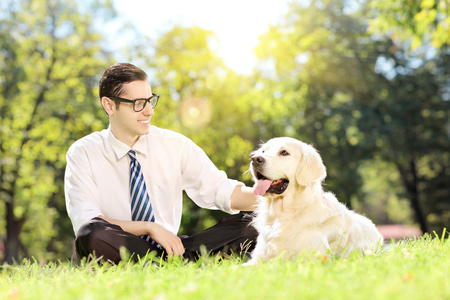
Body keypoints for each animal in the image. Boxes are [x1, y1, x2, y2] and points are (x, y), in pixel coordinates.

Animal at [246, 137, 384, 264]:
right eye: (263, 151)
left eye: (284, 152)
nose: (255, 159)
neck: (285, 213)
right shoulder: (256, 260)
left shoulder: (311, 259)